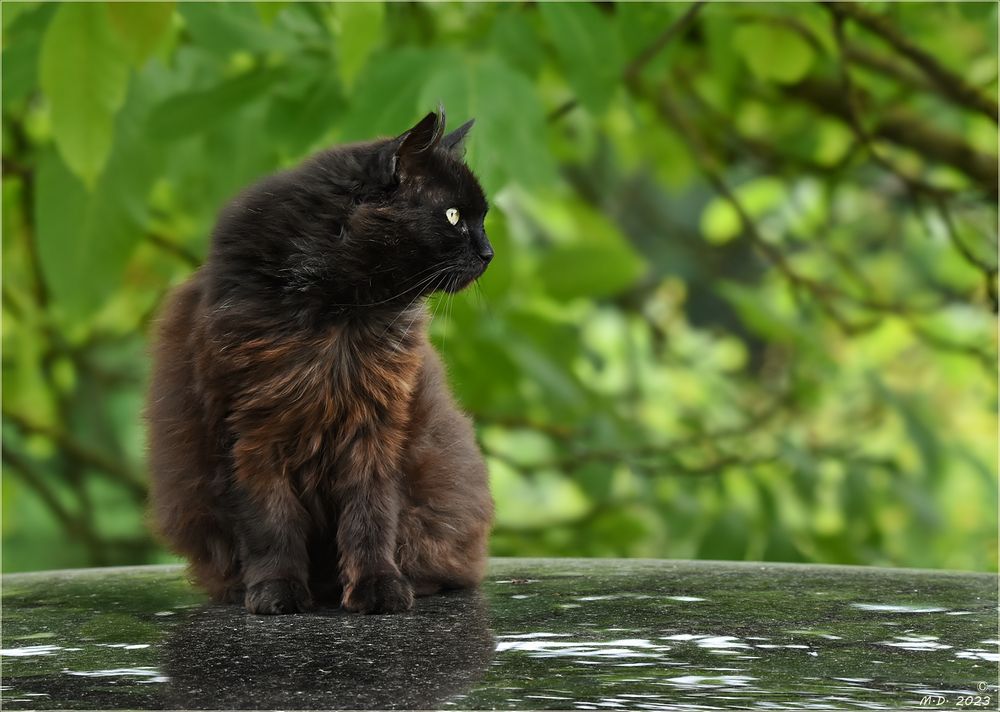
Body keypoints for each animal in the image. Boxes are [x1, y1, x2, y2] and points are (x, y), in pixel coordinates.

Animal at [146, 108, 496, 616]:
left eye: (483, 219)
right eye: (453, 216)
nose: (489, 253)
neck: (342, 313)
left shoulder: (376, 428)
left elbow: (370, 516)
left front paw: (378, 588)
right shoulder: (250, 432)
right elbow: (269, 523)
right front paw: (276, 591)